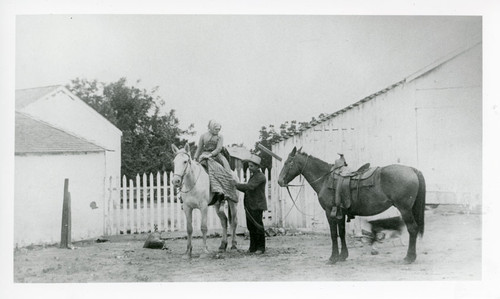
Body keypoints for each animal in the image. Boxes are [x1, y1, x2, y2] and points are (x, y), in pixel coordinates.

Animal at [278, 148, 426, 264]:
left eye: (287, 163)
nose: (280, 181)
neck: (326, 179)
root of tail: (412, 170)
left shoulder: (329, 212)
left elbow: (333, 234)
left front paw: (333, 258)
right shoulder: (341, 213)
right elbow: (342, 233)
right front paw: (343, 256)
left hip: (405, 209)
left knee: (412, 229)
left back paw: (409, 258)